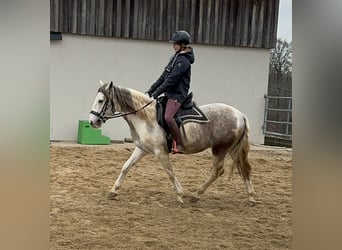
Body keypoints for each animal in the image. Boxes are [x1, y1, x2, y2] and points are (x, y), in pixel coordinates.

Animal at [89, 80, 256, 205]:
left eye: (101, 100)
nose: (92, 121)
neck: (146, 117)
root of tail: (240, 115)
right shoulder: (142, 149)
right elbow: (126, 167)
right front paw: (113, 191)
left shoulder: (160, 152)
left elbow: (170, 172)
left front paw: (180, 194)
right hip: (232, 149)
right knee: (243, 168)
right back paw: (251, 196)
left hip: (220, 149)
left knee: (218, 171)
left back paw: (196, 194)